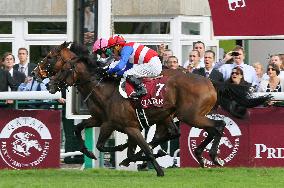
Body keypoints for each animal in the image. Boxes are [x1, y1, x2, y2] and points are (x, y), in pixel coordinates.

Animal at [32, 41, 270, 176]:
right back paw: (200, 155)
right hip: (173, 116)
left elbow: (135, 146)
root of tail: (211, 81)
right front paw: (91, 152)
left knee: (217, 126)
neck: (103, 87)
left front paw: (154, 167)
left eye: (51, 58)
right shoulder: (103, 120)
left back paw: (209, 155)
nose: (42, 79)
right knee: (185, 132)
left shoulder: (122, 124)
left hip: (190, 115)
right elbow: (80, 130)